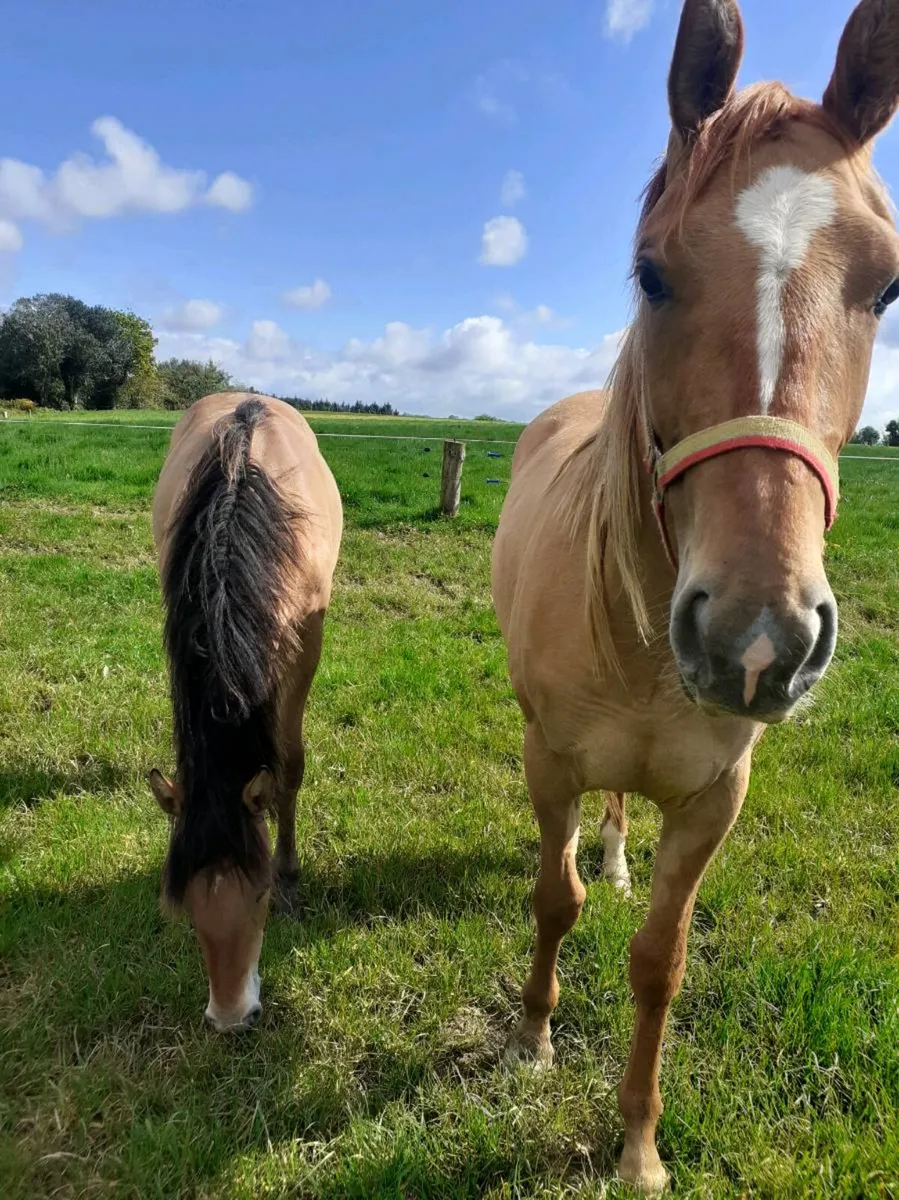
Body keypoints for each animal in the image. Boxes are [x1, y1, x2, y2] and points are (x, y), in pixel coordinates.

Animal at [148, 393, 342, 1032]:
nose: (231, 1017)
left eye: (257, 896)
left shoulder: (305, 646)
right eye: (186, 902)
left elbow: (290, 766)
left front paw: (290, 875)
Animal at [492, 0, 899, 1189]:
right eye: (649, 273)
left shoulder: (714, 800)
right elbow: (554, 899)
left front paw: (636, 1147)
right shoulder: (547, 762)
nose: (758, 640)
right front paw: (532, 1038)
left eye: (886, 286)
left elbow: (657, 962)